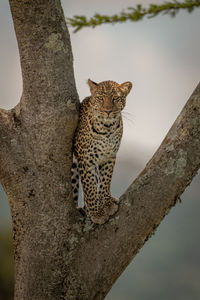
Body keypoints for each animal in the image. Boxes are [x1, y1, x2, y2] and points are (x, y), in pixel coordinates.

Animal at [71, 78, 132, 224]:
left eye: (115, 98)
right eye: (100, 98)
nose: (108, 111)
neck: (107, 128)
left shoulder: (110, 156)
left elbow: (105, 181)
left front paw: (107, 204)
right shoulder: (85, 159)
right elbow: (89, 187)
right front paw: (96, 213)